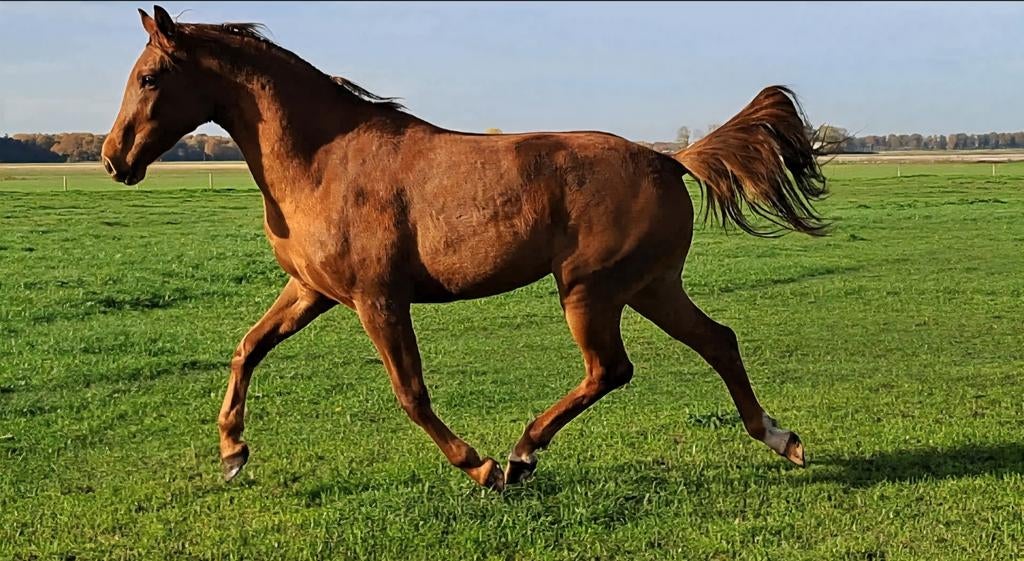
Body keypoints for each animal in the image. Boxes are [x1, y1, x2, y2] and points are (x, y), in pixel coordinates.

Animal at [102, 6, 829, 490]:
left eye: (150, 77)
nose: (114, 159)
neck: (323, 160)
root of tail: (669, 160)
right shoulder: (311, 290)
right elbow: (248, 348)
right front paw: (232, 453)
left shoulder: (378, 299)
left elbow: (410, 391)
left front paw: (478, 466)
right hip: (650, 286)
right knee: (717, 341)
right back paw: (782, 439)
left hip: (591, 290)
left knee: (611, 369)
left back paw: (522, 454)